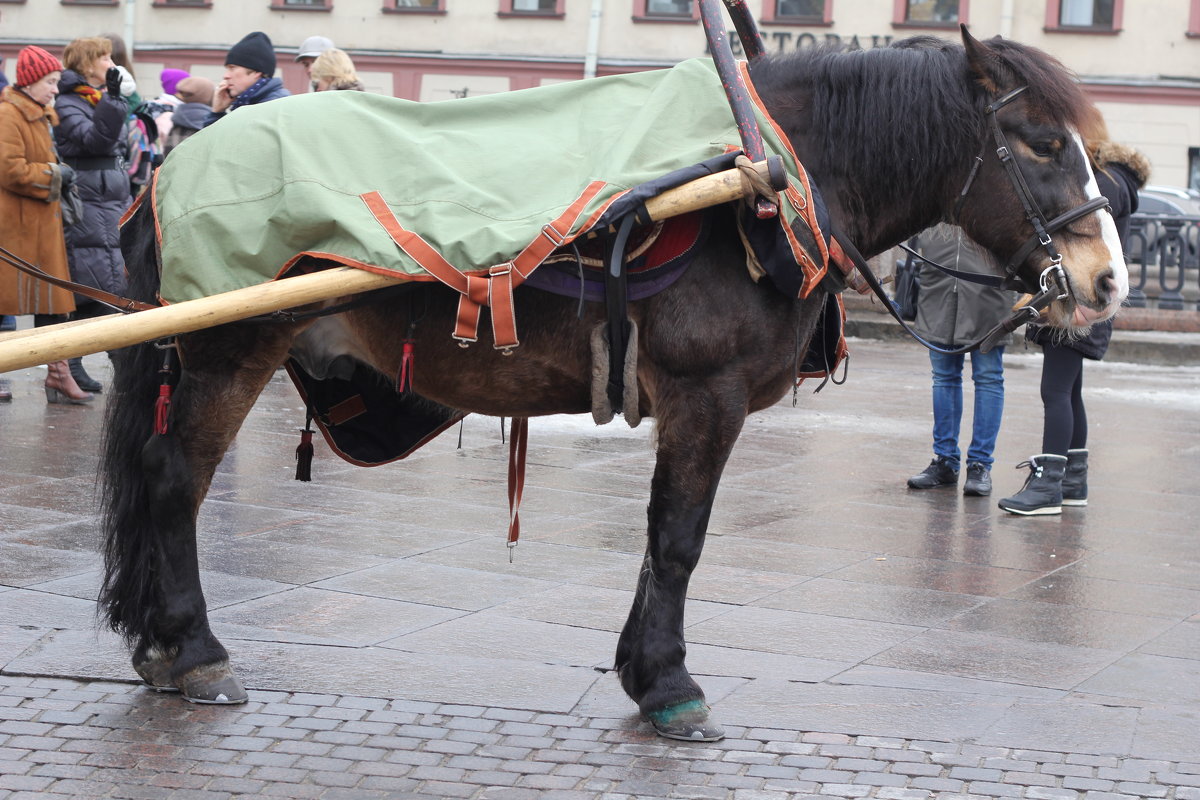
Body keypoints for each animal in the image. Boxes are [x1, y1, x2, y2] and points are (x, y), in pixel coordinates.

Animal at [100, 29, 1123, 743]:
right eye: (1039, 143)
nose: (1108, 279)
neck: (768, 180)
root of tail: (170, 168)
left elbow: (660, 540)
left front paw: (642, 671)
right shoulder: (706, 396)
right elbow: (678, 539)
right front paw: (669, 686)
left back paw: (157, 644)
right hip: (229, 350)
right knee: (174, 481)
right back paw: (194, 650)